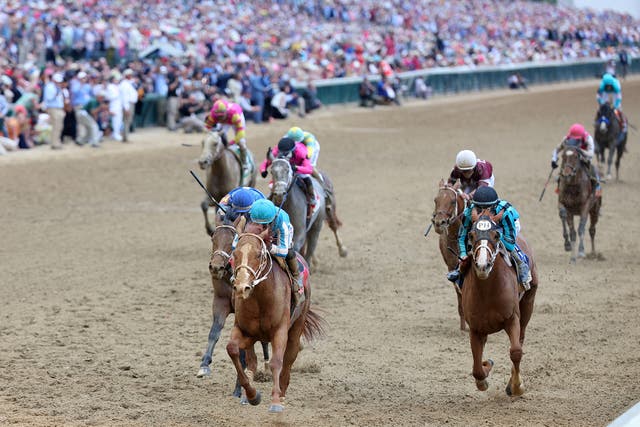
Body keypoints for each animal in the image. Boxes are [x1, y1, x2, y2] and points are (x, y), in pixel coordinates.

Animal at [196, 224, 268, 398]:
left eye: (232, 243)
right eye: (213, 238)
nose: (216, 267)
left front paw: (239, 389)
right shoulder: (220, 302)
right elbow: (214, 332)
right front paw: (204, 365)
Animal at [225, 222, 324, 412]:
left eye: (258, 254)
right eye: (235, 254)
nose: (242, 288)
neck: (260, 298)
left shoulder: (280, 331)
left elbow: (276, 362)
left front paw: (276, 401)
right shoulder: (244, 331)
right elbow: (232, 349)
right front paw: (252, 395)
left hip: (296, 327)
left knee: (288, 359)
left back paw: (283, 393)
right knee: (252, 360)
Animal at [462, 211, 536, 398]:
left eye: (496, 235)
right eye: (471, 235)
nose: (482, 265)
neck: (488, 291)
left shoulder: (512, 318)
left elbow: (516, 352)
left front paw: (517, 386)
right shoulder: (476, 328)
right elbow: (477, 369)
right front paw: (485, 371)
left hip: (528, 302)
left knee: (521, 339)